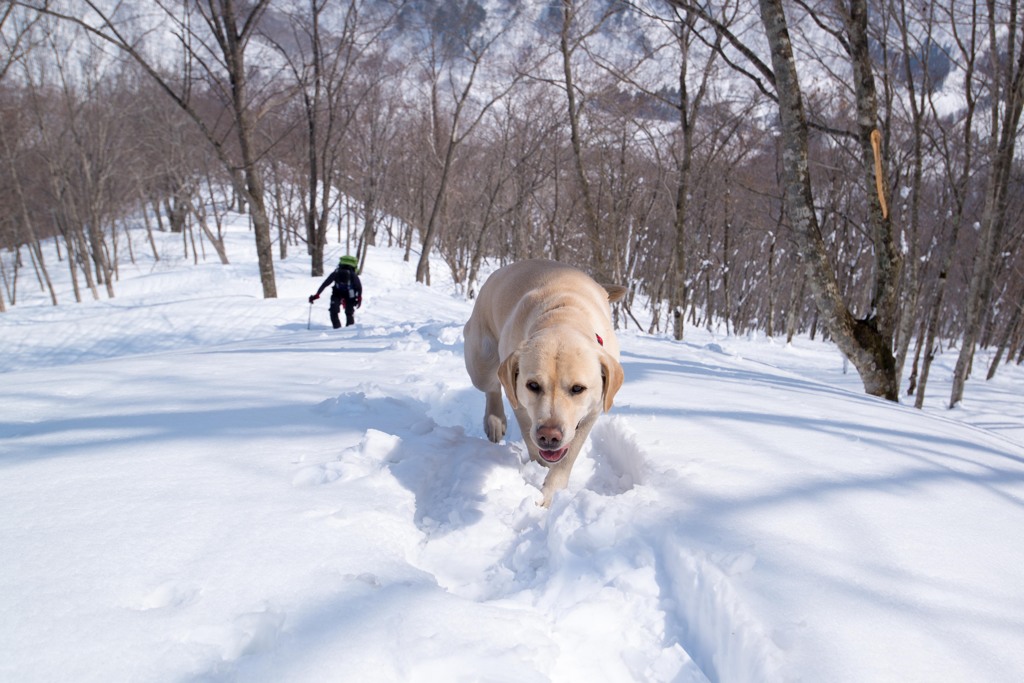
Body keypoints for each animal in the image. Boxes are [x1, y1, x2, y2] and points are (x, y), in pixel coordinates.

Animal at [462, 259, 622, 505]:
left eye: (578, 388)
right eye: (533, 386)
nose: (549, 435)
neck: (564, 315)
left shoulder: (591, 413)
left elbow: (567, 458)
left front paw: (548, 495)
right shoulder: (521, 406)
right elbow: (531, 441)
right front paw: (539, 470)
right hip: (480, 360)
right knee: (491, 387)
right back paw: (495, 421)